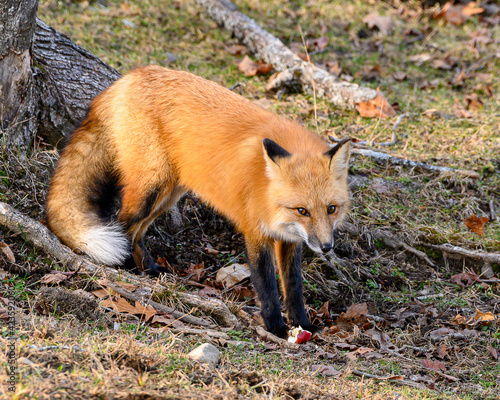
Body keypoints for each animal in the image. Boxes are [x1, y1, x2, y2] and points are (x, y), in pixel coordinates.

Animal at [47, 66, 352, 338]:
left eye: (331, 209)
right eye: (302, 210)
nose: (327, 247)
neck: (264, 184)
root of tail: (130, 76)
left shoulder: (290, 240)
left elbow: (294, 285)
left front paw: (302, 323)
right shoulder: (255, 232)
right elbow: (266, 285)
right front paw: (275, 326)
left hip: (169, 193)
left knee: (137, 231)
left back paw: (147, 268)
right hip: (151, 187)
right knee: (122, 222)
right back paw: (127, 268)